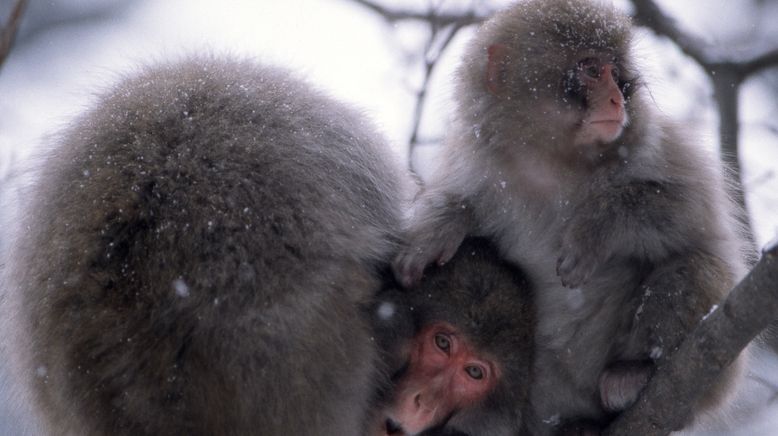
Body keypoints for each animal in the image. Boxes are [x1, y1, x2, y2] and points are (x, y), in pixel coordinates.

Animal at [394, 1, 752, 434]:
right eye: (591, 69)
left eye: (615, 73)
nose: (616, 99)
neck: (552, 165)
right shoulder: (480, 164)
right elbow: (459, 203)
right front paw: (440, 227)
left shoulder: (655, 143)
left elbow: (692, 214)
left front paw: (595, 230)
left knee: (696, 266)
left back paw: (636, 374)